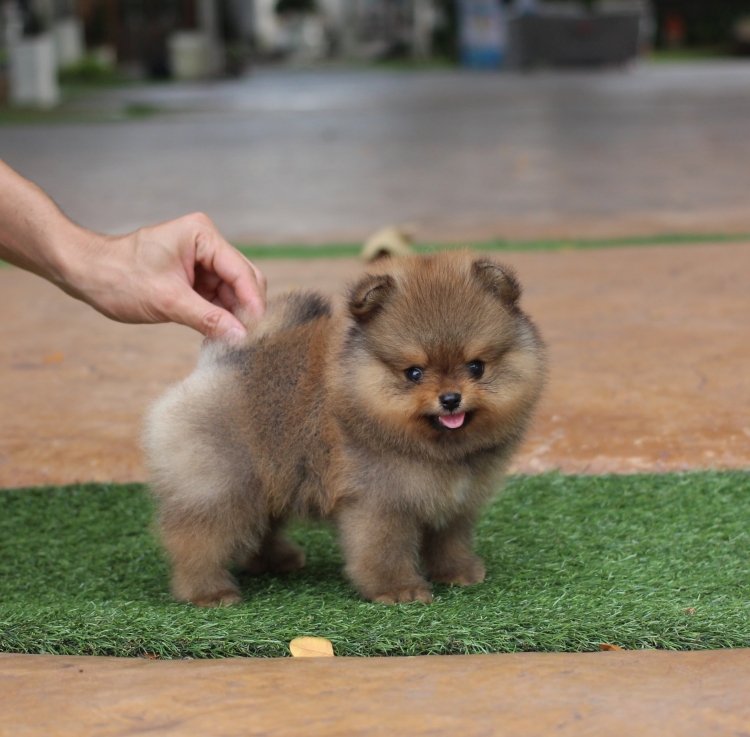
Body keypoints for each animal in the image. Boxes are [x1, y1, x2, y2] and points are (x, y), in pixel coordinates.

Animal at [143, 250, 546, 606]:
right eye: (414, 373)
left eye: (476, 367)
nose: (450, 398)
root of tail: (219, 363)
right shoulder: (379, 501)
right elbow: (383, 550)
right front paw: (398, 589)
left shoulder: (455, 503)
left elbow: (449, 540)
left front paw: (456, 571)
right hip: (222, 485)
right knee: (196, 539)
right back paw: (207, 591)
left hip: (271, 477)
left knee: (261, 525)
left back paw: (275, 561)